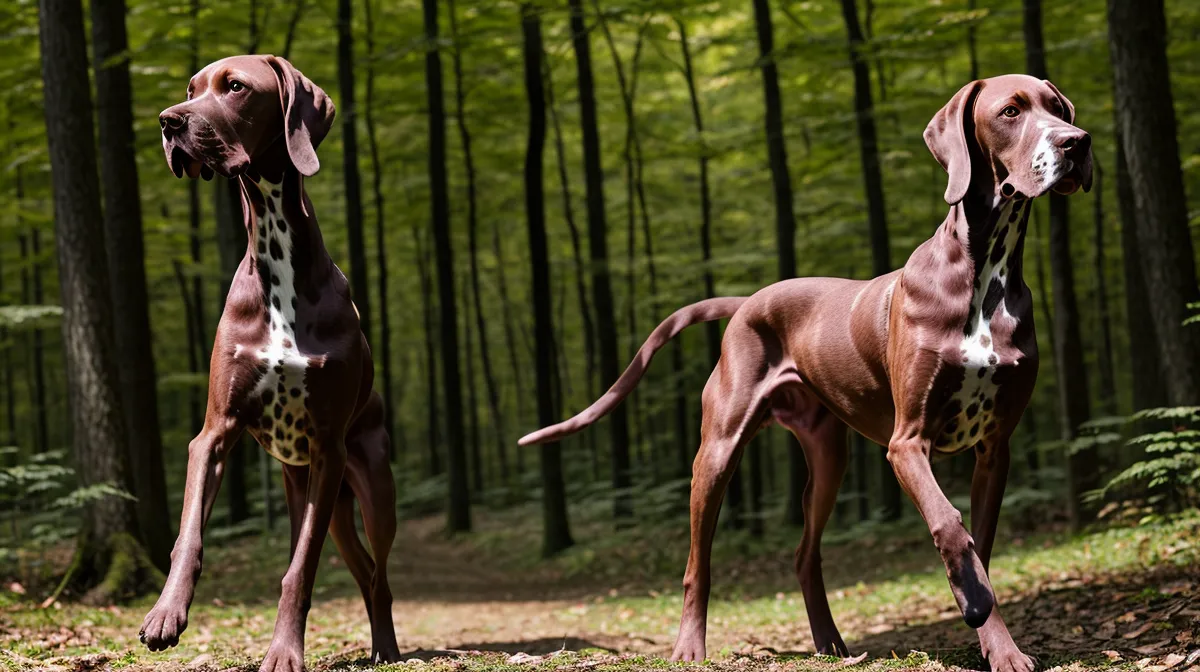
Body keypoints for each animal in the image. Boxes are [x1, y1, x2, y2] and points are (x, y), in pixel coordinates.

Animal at [139, 55, 402, 671]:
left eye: (235, 87)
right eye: (191, 88)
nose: (167, 121)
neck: (275, 250)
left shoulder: (329, 450)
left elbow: (298, 571)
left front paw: (284, 650)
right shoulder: (215, 433)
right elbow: (188, 536)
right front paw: (166, 612)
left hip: (370, 490)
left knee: (378, 574)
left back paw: (387, 648)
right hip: (317, 498)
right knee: (361, 570)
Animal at [521, 74, 1093, 672]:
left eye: (1058, 107)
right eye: (1010, 111)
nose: (1078, 143)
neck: (986, 271)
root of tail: (749, 301)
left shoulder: (994, 448)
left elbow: (982, 545)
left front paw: (998, 644)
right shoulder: (907, 442)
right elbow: (950, 526)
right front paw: (975, 607)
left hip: (828, 458)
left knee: (803, 554)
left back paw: (831, 643)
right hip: (717, 453)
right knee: (697, 563)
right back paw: (690, 646)